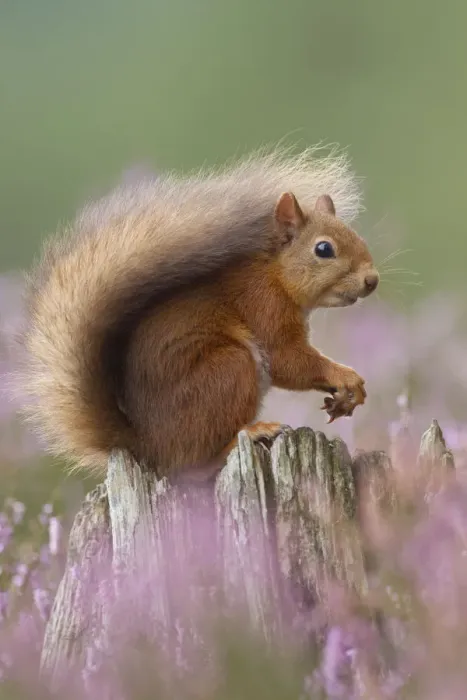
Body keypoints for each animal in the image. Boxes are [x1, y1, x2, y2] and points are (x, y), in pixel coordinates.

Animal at [17, 147, 379, 480]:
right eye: (324, 249)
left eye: (358, 237)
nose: (372, 280)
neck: (276, 275)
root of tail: (149, 449)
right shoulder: (264, 307)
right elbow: (288, 361)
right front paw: (345, 376)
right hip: (229, 370)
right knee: (197, 461)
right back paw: (250, 434)